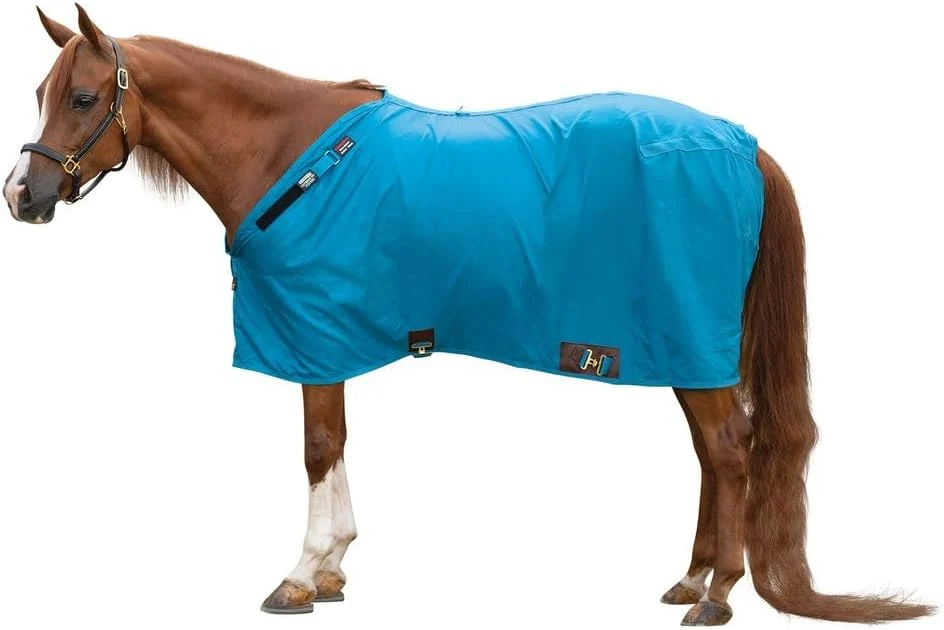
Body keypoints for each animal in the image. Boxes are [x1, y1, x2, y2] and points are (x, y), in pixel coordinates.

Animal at [2, 5, 933, 626]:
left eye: (82, 98)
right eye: (42, 90)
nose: (23, 196)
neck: (291, 159)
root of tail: (743, 145)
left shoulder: (313, 331)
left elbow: (317, 447)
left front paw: (301, 576)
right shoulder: (332, 337)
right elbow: (338, 445)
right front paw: (336, 569)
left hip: (688, 340)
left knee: (731, 452)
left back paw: (716, 597)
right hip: (680, 348)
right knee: (713, 455)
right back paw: (693, 578)